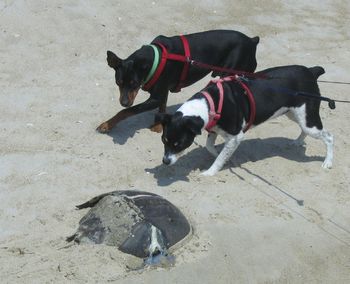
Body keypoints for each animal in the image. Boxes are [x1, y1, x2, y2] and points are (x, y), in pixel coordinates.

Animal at [97, 30, 258, 133]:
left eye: (134, 84)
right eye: (118, 83)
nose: (123, 102)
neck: (153, 61)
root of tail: (252, 40)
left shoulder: (155, 97)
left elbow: (126, 111)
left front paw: (106, 125)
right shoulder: (162, 92)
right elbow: (162, 107)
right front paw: (159, 126)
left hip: (232, 71)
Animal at [156, 65, 334, 175]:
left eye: (179, 144)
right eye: (164, 140)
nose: (165, 161)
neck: (209, 103)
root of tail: (311, 71)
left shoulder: (236, 136)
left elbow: (219, 158)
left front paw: (210, 172)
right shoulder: (214, 129)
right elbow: (210, 147)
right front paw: (223, 156)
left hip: (307, 119)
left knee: (329, 137)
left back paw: (328, 162)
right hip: (296, 114)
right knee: (305, 129)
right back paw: (297, 142)